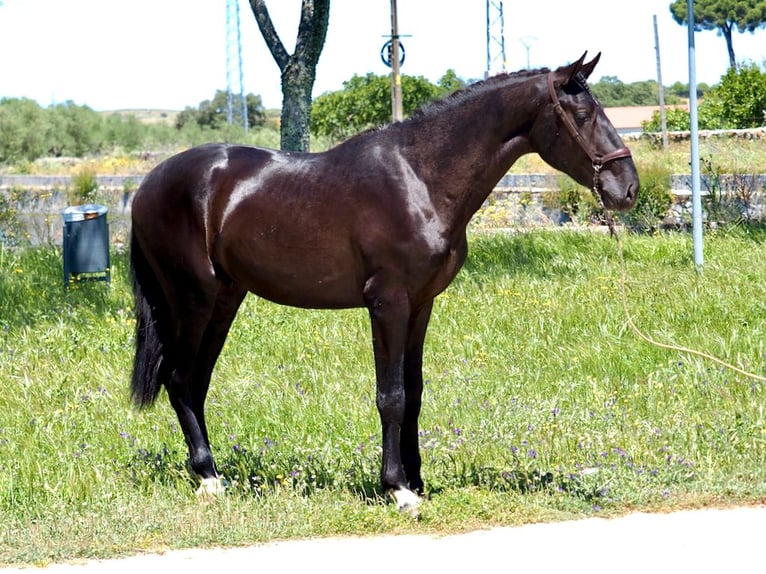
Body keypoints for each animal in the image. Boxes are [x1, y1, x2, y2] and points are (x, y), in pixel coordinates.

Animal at [132, 53, 640, 512]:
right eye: (583, 115)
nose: (628, 188)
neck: (420, 178)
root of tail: (147, 185)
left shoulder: (420, 305)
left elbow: (413, 393)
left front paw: (416, 480)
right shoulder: (388, 303)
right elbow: (391, 396)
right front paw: (397, 488)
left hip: (225, 300)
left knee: (196, 383)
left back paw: (214, 472)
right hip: (193, 300)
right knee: (180, 380)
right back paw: (207, 477)